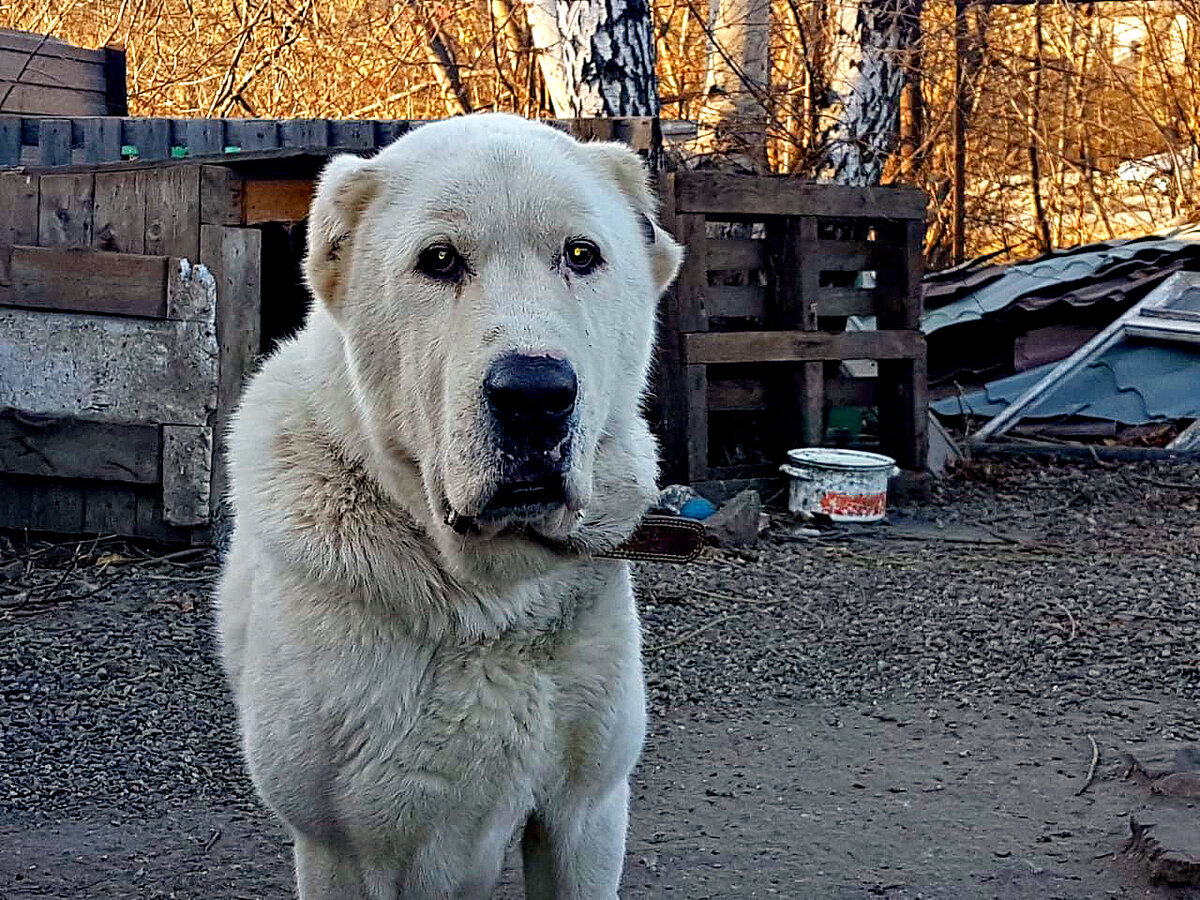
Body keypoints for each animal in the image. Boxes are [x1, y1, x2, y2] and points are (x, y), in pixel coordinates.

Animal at [217, 114, 686, 900]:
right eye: (438, 261)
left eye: (581, 254)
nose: (535, 395)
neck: (495, 604)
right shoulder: (342, 849)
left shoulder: (585, 815)